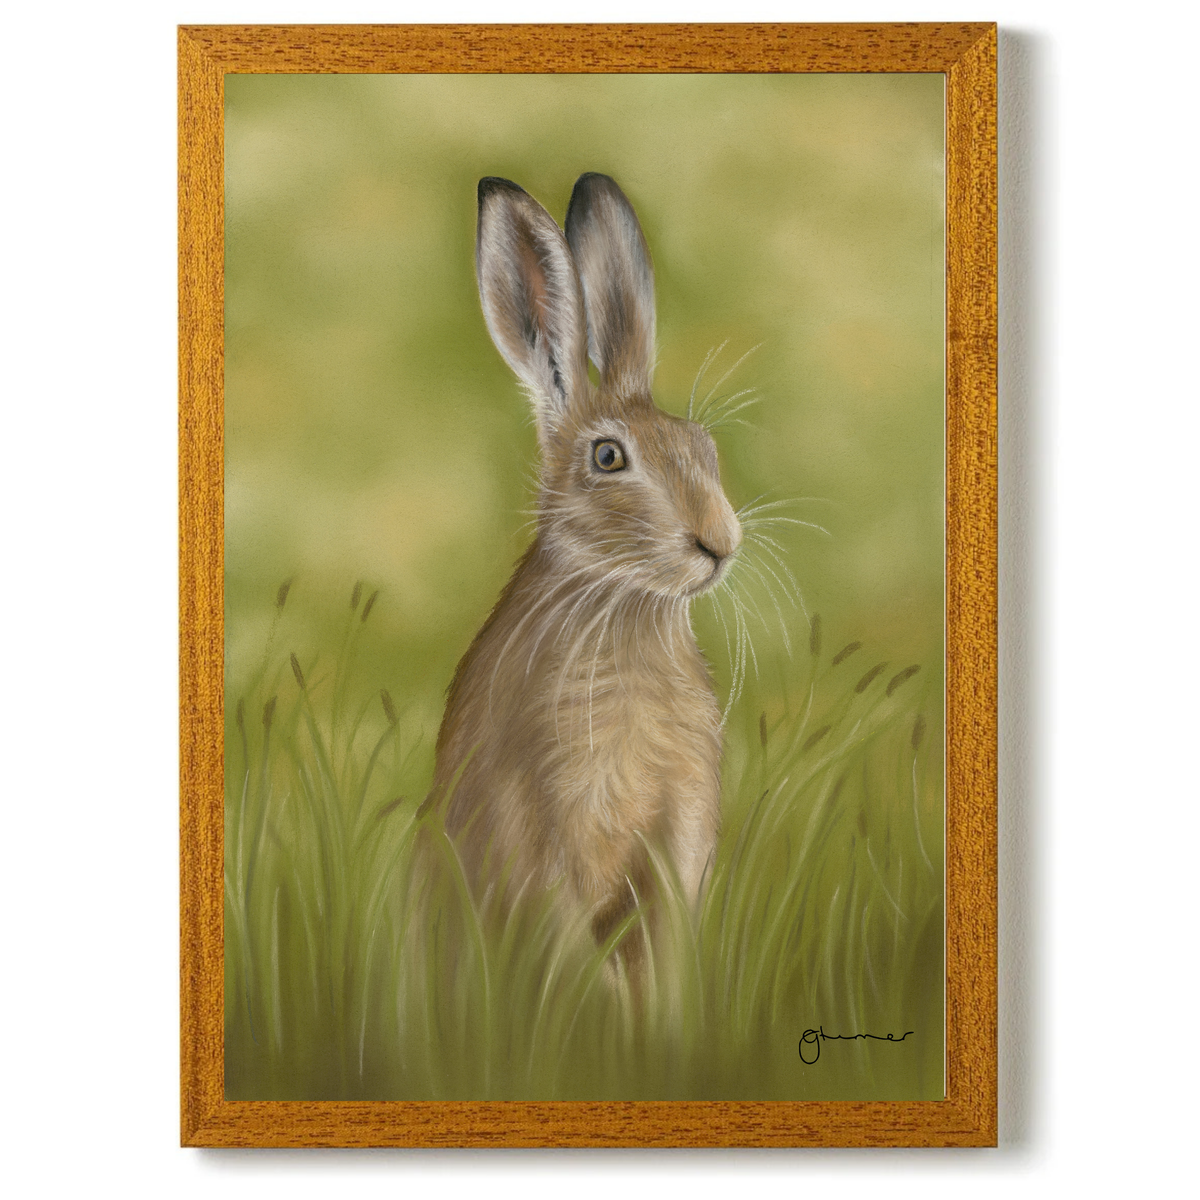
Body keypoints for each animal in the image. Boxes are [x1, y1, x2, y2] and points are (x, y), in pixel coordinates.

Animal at [429, 173, 742, 967]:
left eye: (703, 446)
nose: (719, 542)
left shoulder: (679, 837)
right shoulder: (543, 831)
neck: (625, 607)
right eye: (607, 458)